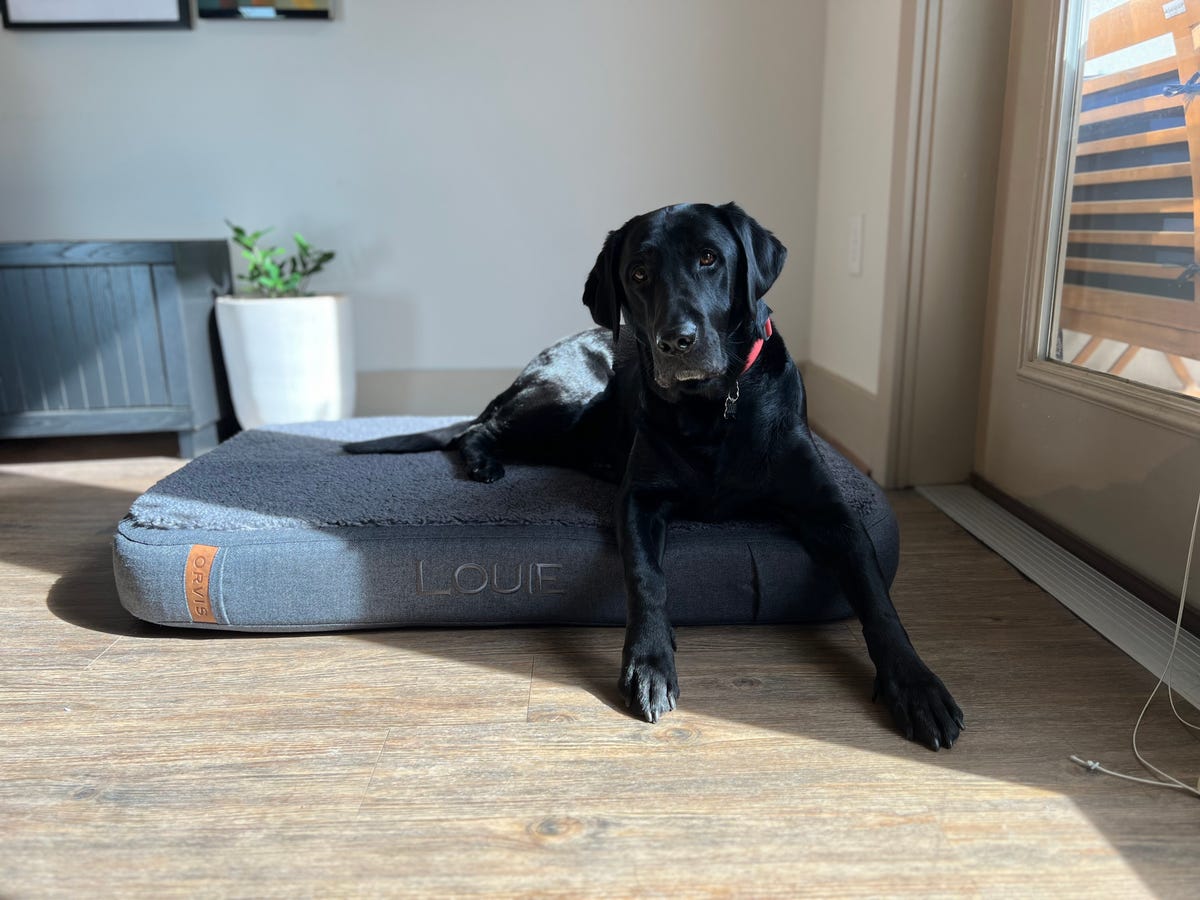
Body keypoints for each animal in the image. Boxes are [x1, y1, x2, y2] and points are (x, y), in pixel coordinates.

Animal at [348, 204, 964, 753]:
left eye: (710, 258)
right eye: (638, 274)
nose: (676, 341)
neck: (714, 409)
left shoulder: (829, 511)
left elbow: (877, 599)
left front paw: (917, 686)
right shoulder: (640, 500)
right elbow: (646, 578)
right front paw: (648, 663)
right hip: (570, 398)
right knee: (479, 429)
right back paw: (483, 463)